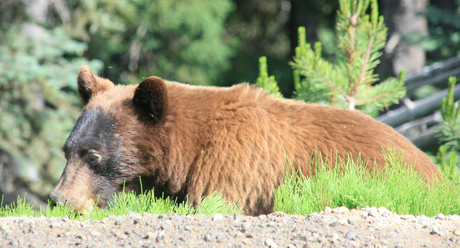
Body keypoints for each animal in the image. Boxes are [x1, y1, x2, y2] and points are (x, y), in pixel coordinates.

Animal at [48, 65, 440, 215]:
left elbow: (216, 203)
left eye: (94, 156)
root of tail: (438, 174)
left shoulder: (233, 163)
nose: (58, 199)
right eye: (67, 150)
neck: (189, 150)